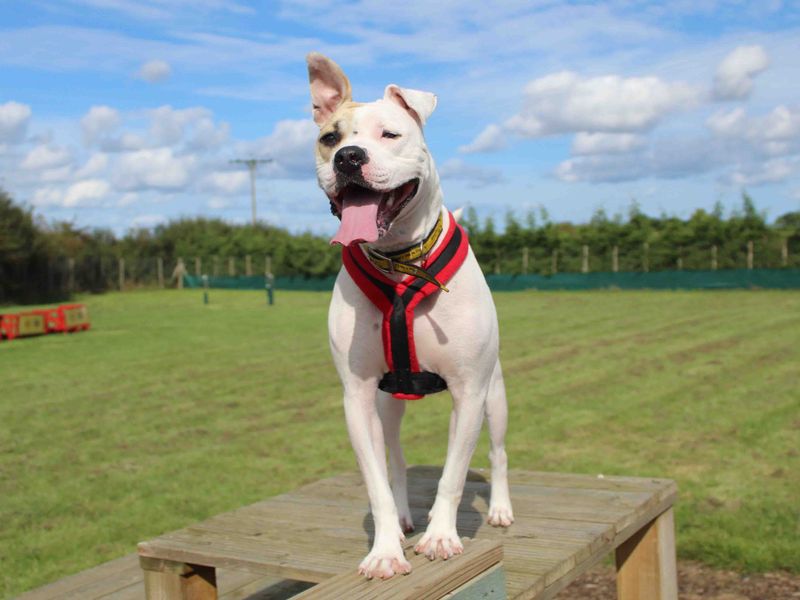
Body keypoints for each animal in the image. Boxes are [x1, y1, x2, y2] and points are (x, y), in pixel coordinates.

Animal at [306, 54, 512, 580]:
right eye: (330, 138)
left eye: (390, 134)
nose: (348, 157)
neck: (399, 260)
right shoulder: (358, 397)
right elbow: (377, 480)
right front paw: (385, 550)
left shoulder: (469, 391)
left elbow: (454, 475)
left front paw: (441, 537)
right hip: (388, 404)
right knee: (396, 460)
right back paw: (401, 518)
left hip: (495, 395)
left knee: (497, 452)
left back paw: (500, 508)